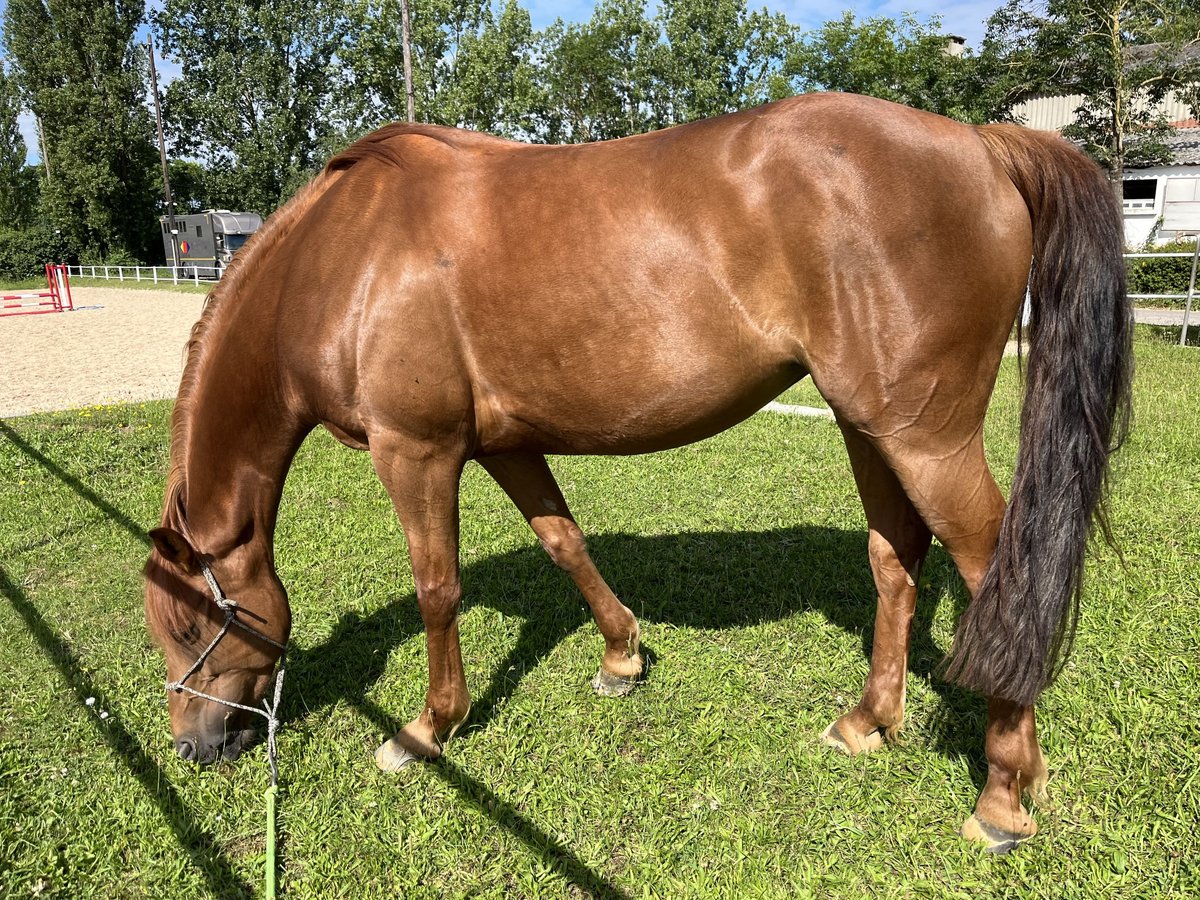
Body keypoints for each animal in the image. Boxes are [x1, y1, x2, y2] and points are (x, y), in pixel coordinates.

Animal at [145, 93, 1128, 854]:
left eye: (189, 626)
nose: (194, 745)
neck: (341, 260)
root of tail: (981, 143)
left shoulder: (415, 450)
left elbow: (437, 588)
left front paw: (426, 731)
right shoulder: (504, 443)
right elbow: (564, 542)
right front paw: (621, 656)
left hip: (925, 436)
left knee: (995, 572)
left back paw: (1002, 795)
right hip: (871, 423)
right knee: (896, 558)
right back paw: (869, 722)